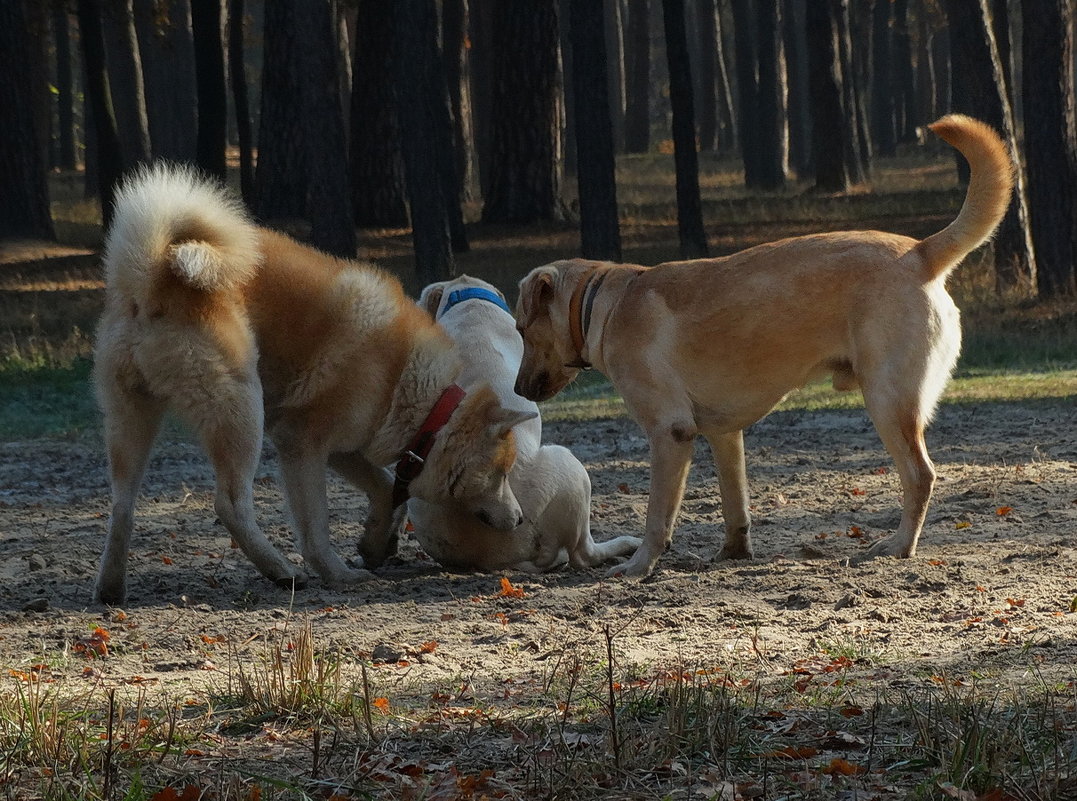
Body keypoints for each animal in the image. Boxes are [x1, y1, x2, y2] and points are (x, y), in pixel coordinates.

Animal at [94, 164, 532, 602]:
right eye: (503, 473)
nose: (520, 519)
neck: (414, 390)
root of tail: (153, 274)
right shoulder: (301, 444)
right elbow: (317, 526)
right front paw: (337, 572)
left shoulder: (346, 447)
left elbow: (387, 491)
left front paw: (376, 544)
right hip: (242, 412)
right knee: (230, 504)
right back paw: (281, 571)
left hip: (132, 420)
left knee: (121, 505)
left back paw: (111, 588)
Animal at [514, 115, 1016, 577]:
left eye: (520, 329)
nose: (517, 390)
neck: (604, 303)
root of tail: (918, 251)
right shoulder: (723, 434)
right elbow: (734, 505)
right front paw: (733, 553)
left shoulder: (669, 433)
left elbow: (657, 518)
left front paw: (639, 566)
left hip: (888, 401)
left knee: (920, 476)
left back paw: (898, 545)